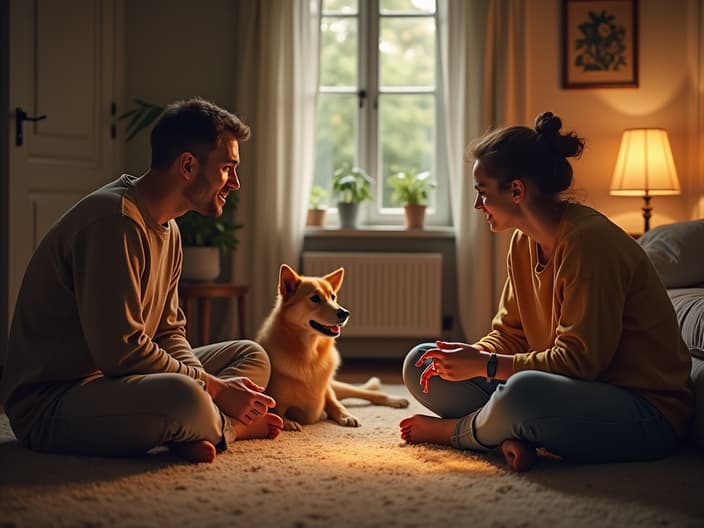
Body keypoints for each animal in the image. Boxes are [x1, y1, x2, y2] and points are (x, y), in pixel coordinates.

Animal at [258, 262, 412, 432]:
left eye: (333, 297)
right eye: (315, 298)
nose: (345, 313)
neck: (310, 353)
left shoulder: (326, 391)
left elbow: (335, 404)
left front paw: (346, 415)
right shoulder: (277, 400)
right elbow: (277, 412)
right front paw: (287, 422)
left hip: (337, 386)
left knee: (368, 394)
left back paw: (395, 399)